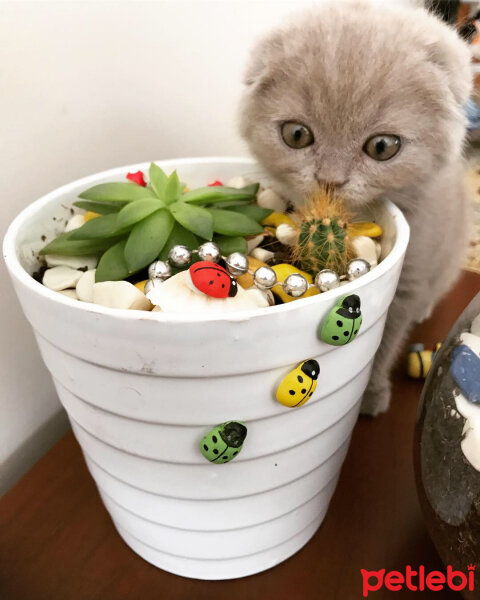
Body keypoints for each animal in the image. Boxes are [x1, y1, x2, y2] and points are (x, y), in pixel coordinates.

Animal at [240, 0, 472, 418]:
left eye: (382, 146)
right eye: (296, 135)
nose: (330, 179)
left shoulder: (410, 277)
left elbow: (385, 341)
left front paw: (371, 394)